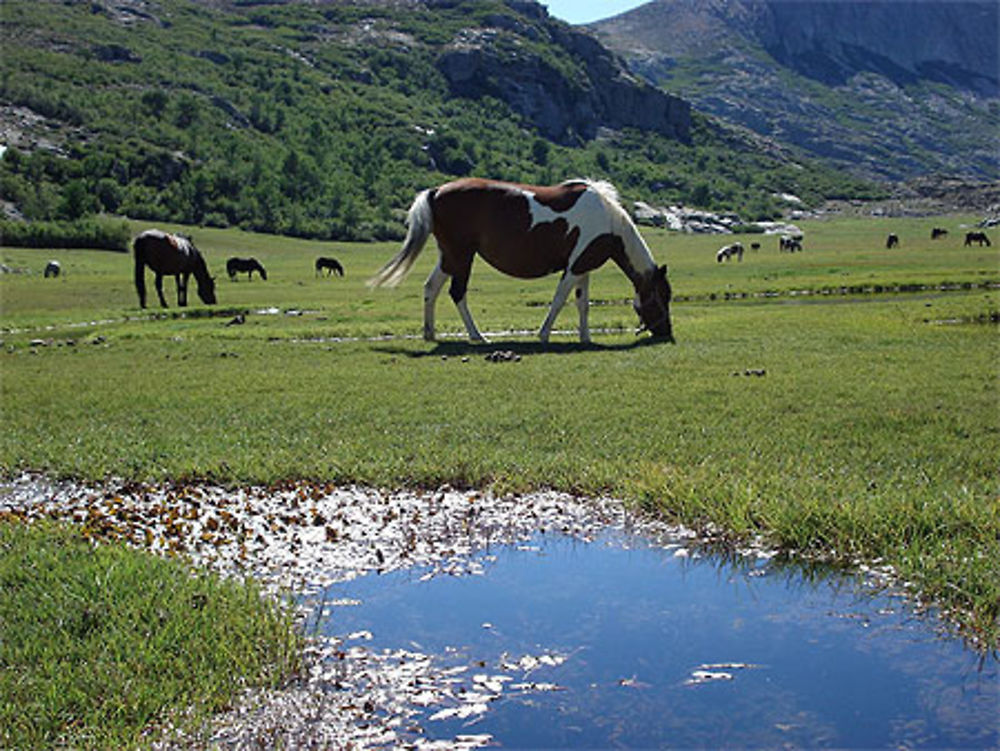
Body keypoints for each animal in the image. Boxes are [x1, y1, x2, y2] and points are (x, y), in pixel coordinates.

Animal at [368, 178, 672, 346]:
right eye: (661, 298)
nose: (665, 333)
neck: (608, 221)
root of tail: (436, 191)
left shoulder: (582, 268)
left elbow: (582, 304)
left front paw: (585, 337)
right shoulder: (573, 268)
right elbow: (559, 300)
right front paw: (543, 334)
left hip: (449, 257)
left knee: (431, 288)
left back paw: (430, 334)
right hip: (462, 256)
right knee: (457, 293)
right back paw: (477, 336)